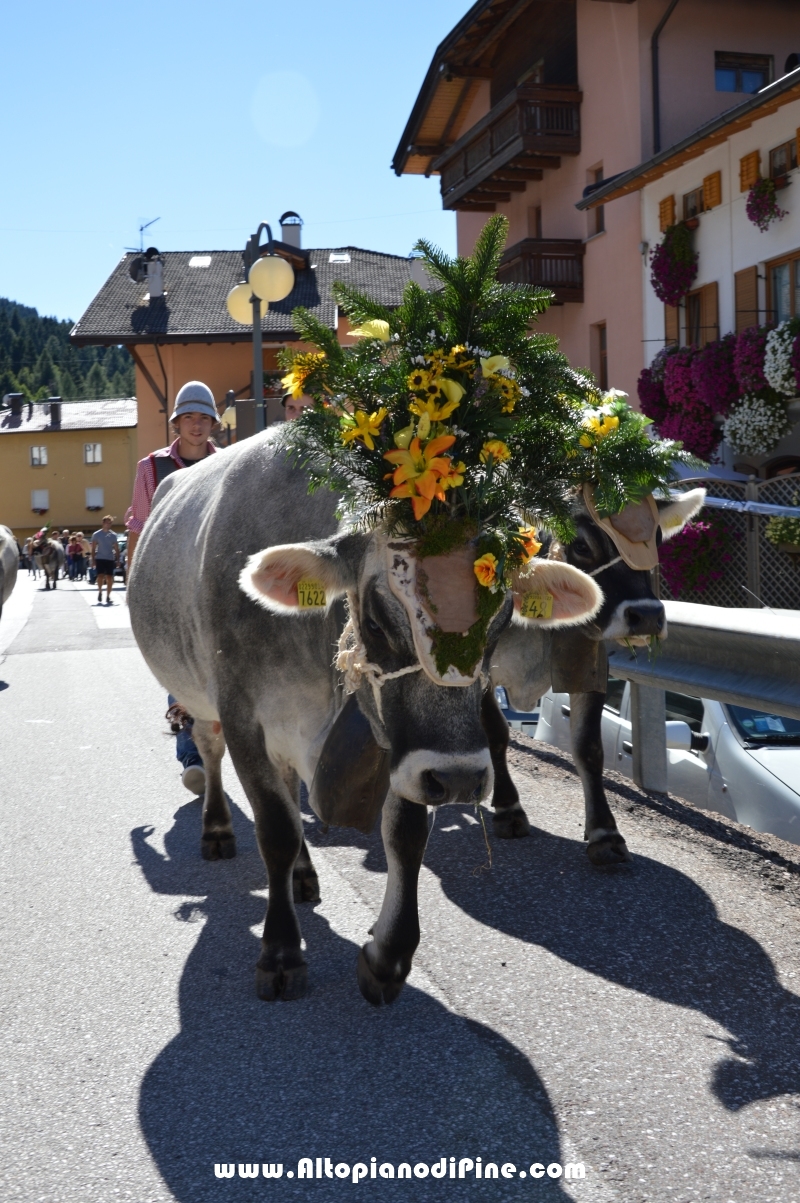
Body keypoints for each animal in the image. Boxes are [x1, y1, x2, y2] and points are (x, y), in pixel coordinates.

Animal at [126, 433, 599, 1005]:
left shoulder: (400, 748)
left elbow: (405, 835)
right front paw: (280, 953)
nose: (461, 779)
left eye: (502, 621)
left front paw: (387, 956)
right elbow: (276, 830)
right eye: (373, 621)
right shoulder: (246, 722)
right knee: (209, 749)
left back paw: (303, 874)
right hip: (200, 698)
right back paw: (217, 829)